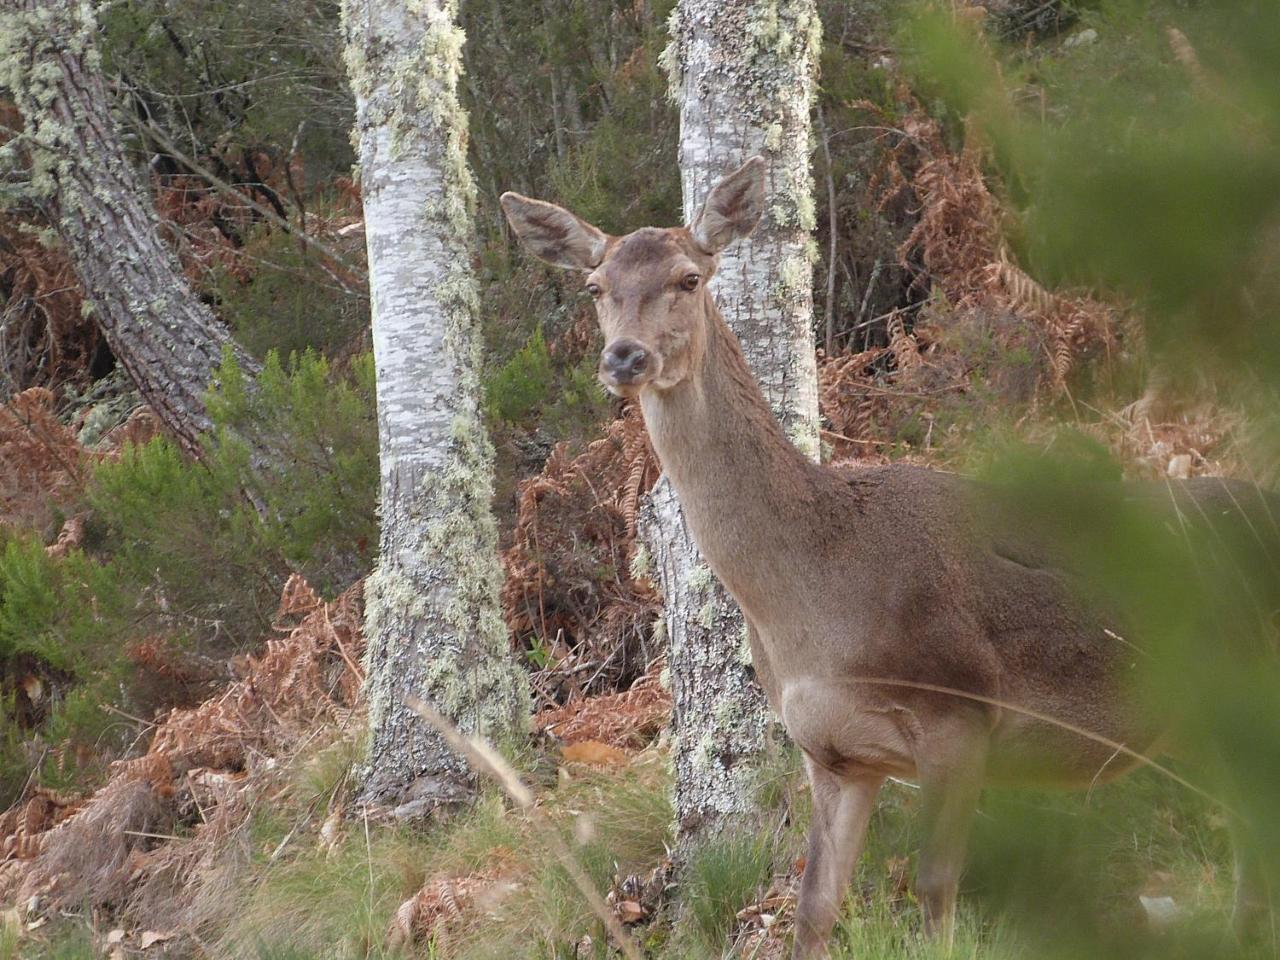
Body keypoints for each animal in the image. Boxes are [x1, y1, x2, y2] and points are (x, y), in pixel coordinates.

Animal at [496, 158, 1269, 960]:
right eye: (595, 286)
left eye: (688, 277)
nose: (625, 356)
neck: (816, 599)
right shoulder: (832, 752)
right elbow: (814, 905)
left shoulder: (959, 709)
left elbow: (935, 893)